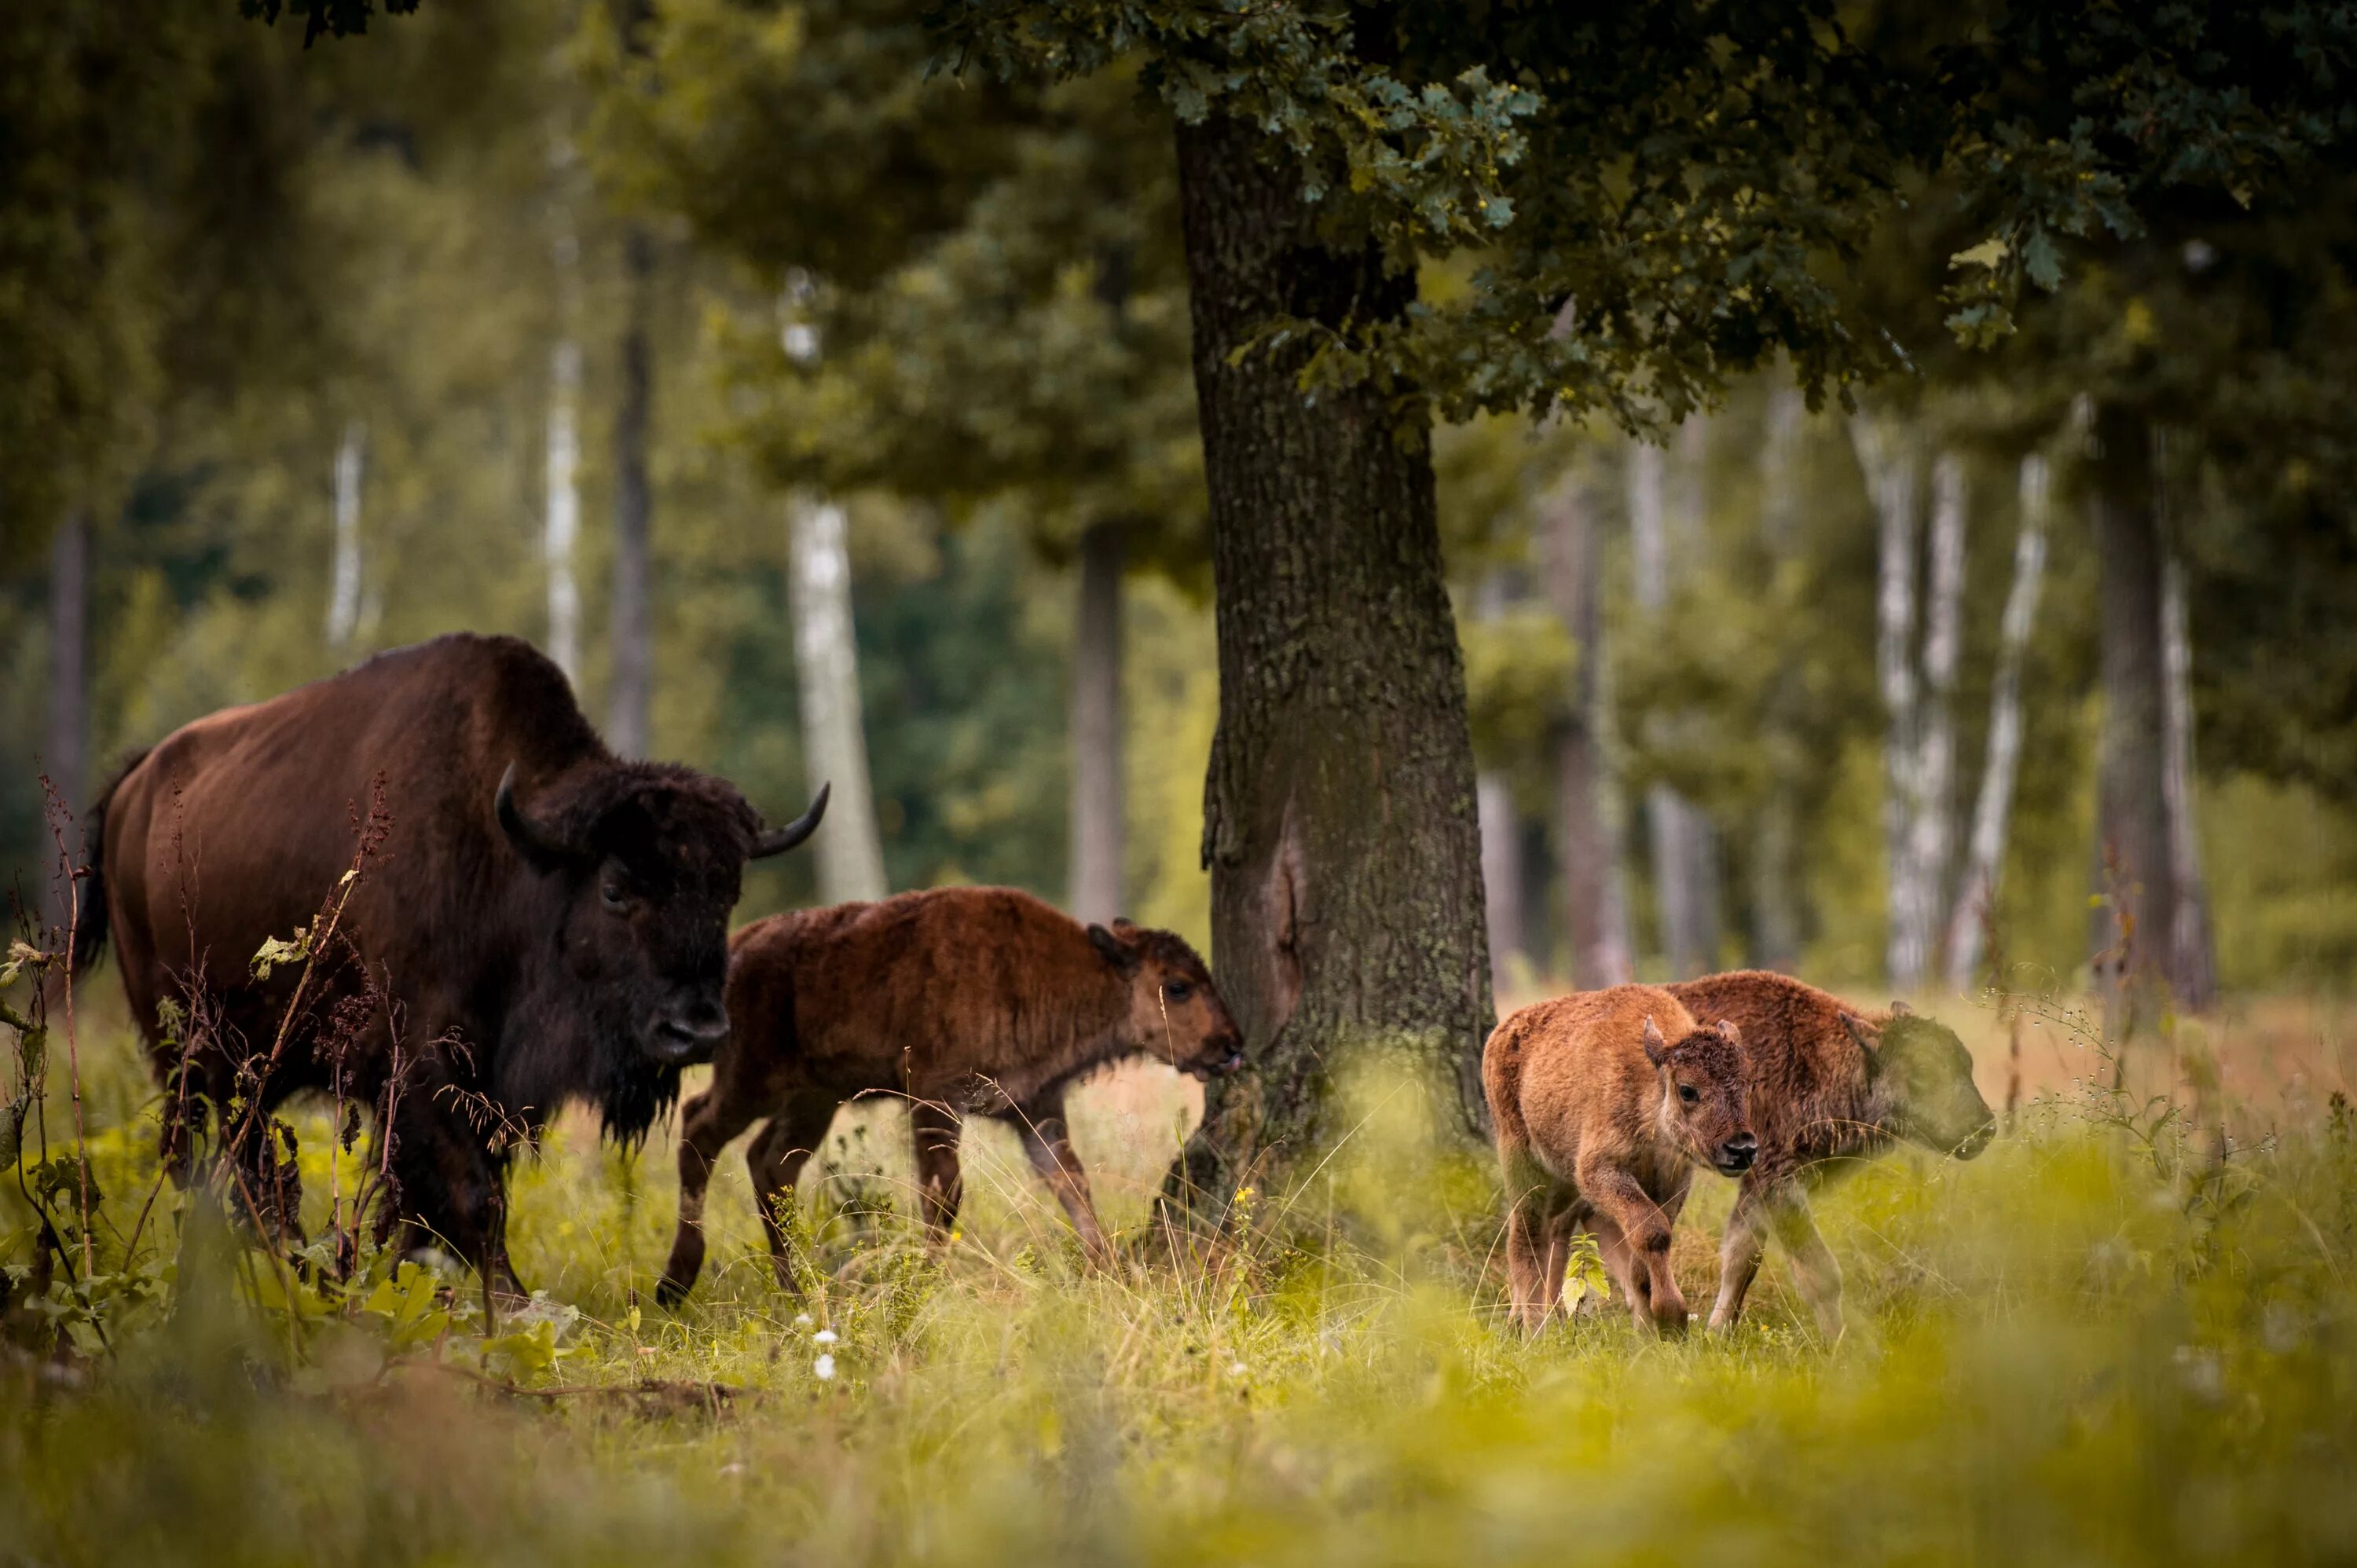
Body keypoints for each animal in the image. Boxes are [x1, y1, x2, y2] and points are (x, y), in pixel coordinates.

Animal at [75, 632, 830, 1291]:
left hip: (252, 1067)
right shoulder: (416, 1064)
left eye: (727, 891)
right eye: (616, 887)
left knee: (249, 1168)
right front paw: (513, 1302)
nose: (696, 1031)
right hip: (183, 1051)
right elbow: (469, 1196)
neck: (511, 858)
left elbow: (443, 1202)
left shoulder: (487, 1082)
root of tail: (132, 790)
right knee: (201, 1161)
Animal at [655, 886, 1244, 1301]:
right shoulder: (936, 1100)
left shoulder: (1037, 1111)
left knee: (771, 1165)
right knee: (700, 1128)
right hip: (752, 1080)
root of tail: (741, 947)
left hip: (814, 1098)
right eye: (1177, 986)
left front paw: (1111, 1273)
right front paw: (924, 1281)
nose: (1232, 1045)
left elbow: (1073, 1185)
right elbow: (944, 1194)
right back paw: (676, 1282)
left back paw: (795, 1287)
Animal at [1480, 985, 1763, 1329]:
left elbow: (1646, 1250)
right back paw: (1534, 1326)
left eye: (1749, 1085)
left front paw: (1656, 1323)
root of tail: (1501, 1032)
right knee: (1526, 1236)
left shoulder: (1672, 1182)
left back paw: (1533, 1318)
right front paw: (1672, 1315)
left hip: (1563, 1179)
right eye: (1687, 1090)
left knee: (1555, 1229)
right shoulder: (1598, 1171)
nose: (1742, 1149)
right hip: (1521, 1160)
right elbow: (1653, 1232)